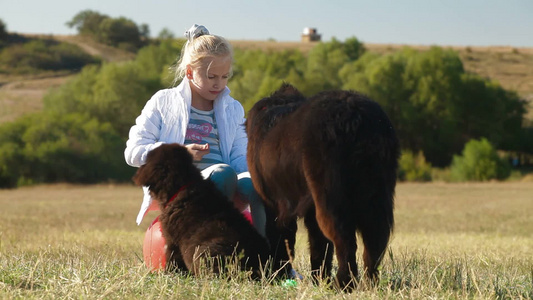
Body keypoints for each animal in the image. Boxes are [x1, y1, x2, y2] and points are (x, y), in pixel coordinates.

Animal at [245, 83, 400, 290]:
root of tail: (357, 117)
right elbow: (319, 246)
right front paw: (318, 279)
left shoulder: (273, 203)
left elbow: (283, 238)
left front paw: (277, 273)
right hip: (376, 192)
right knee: (375, 240)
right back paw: (369, 283)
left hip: (331, 194)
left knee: (345, 240)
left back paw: (343, 283)